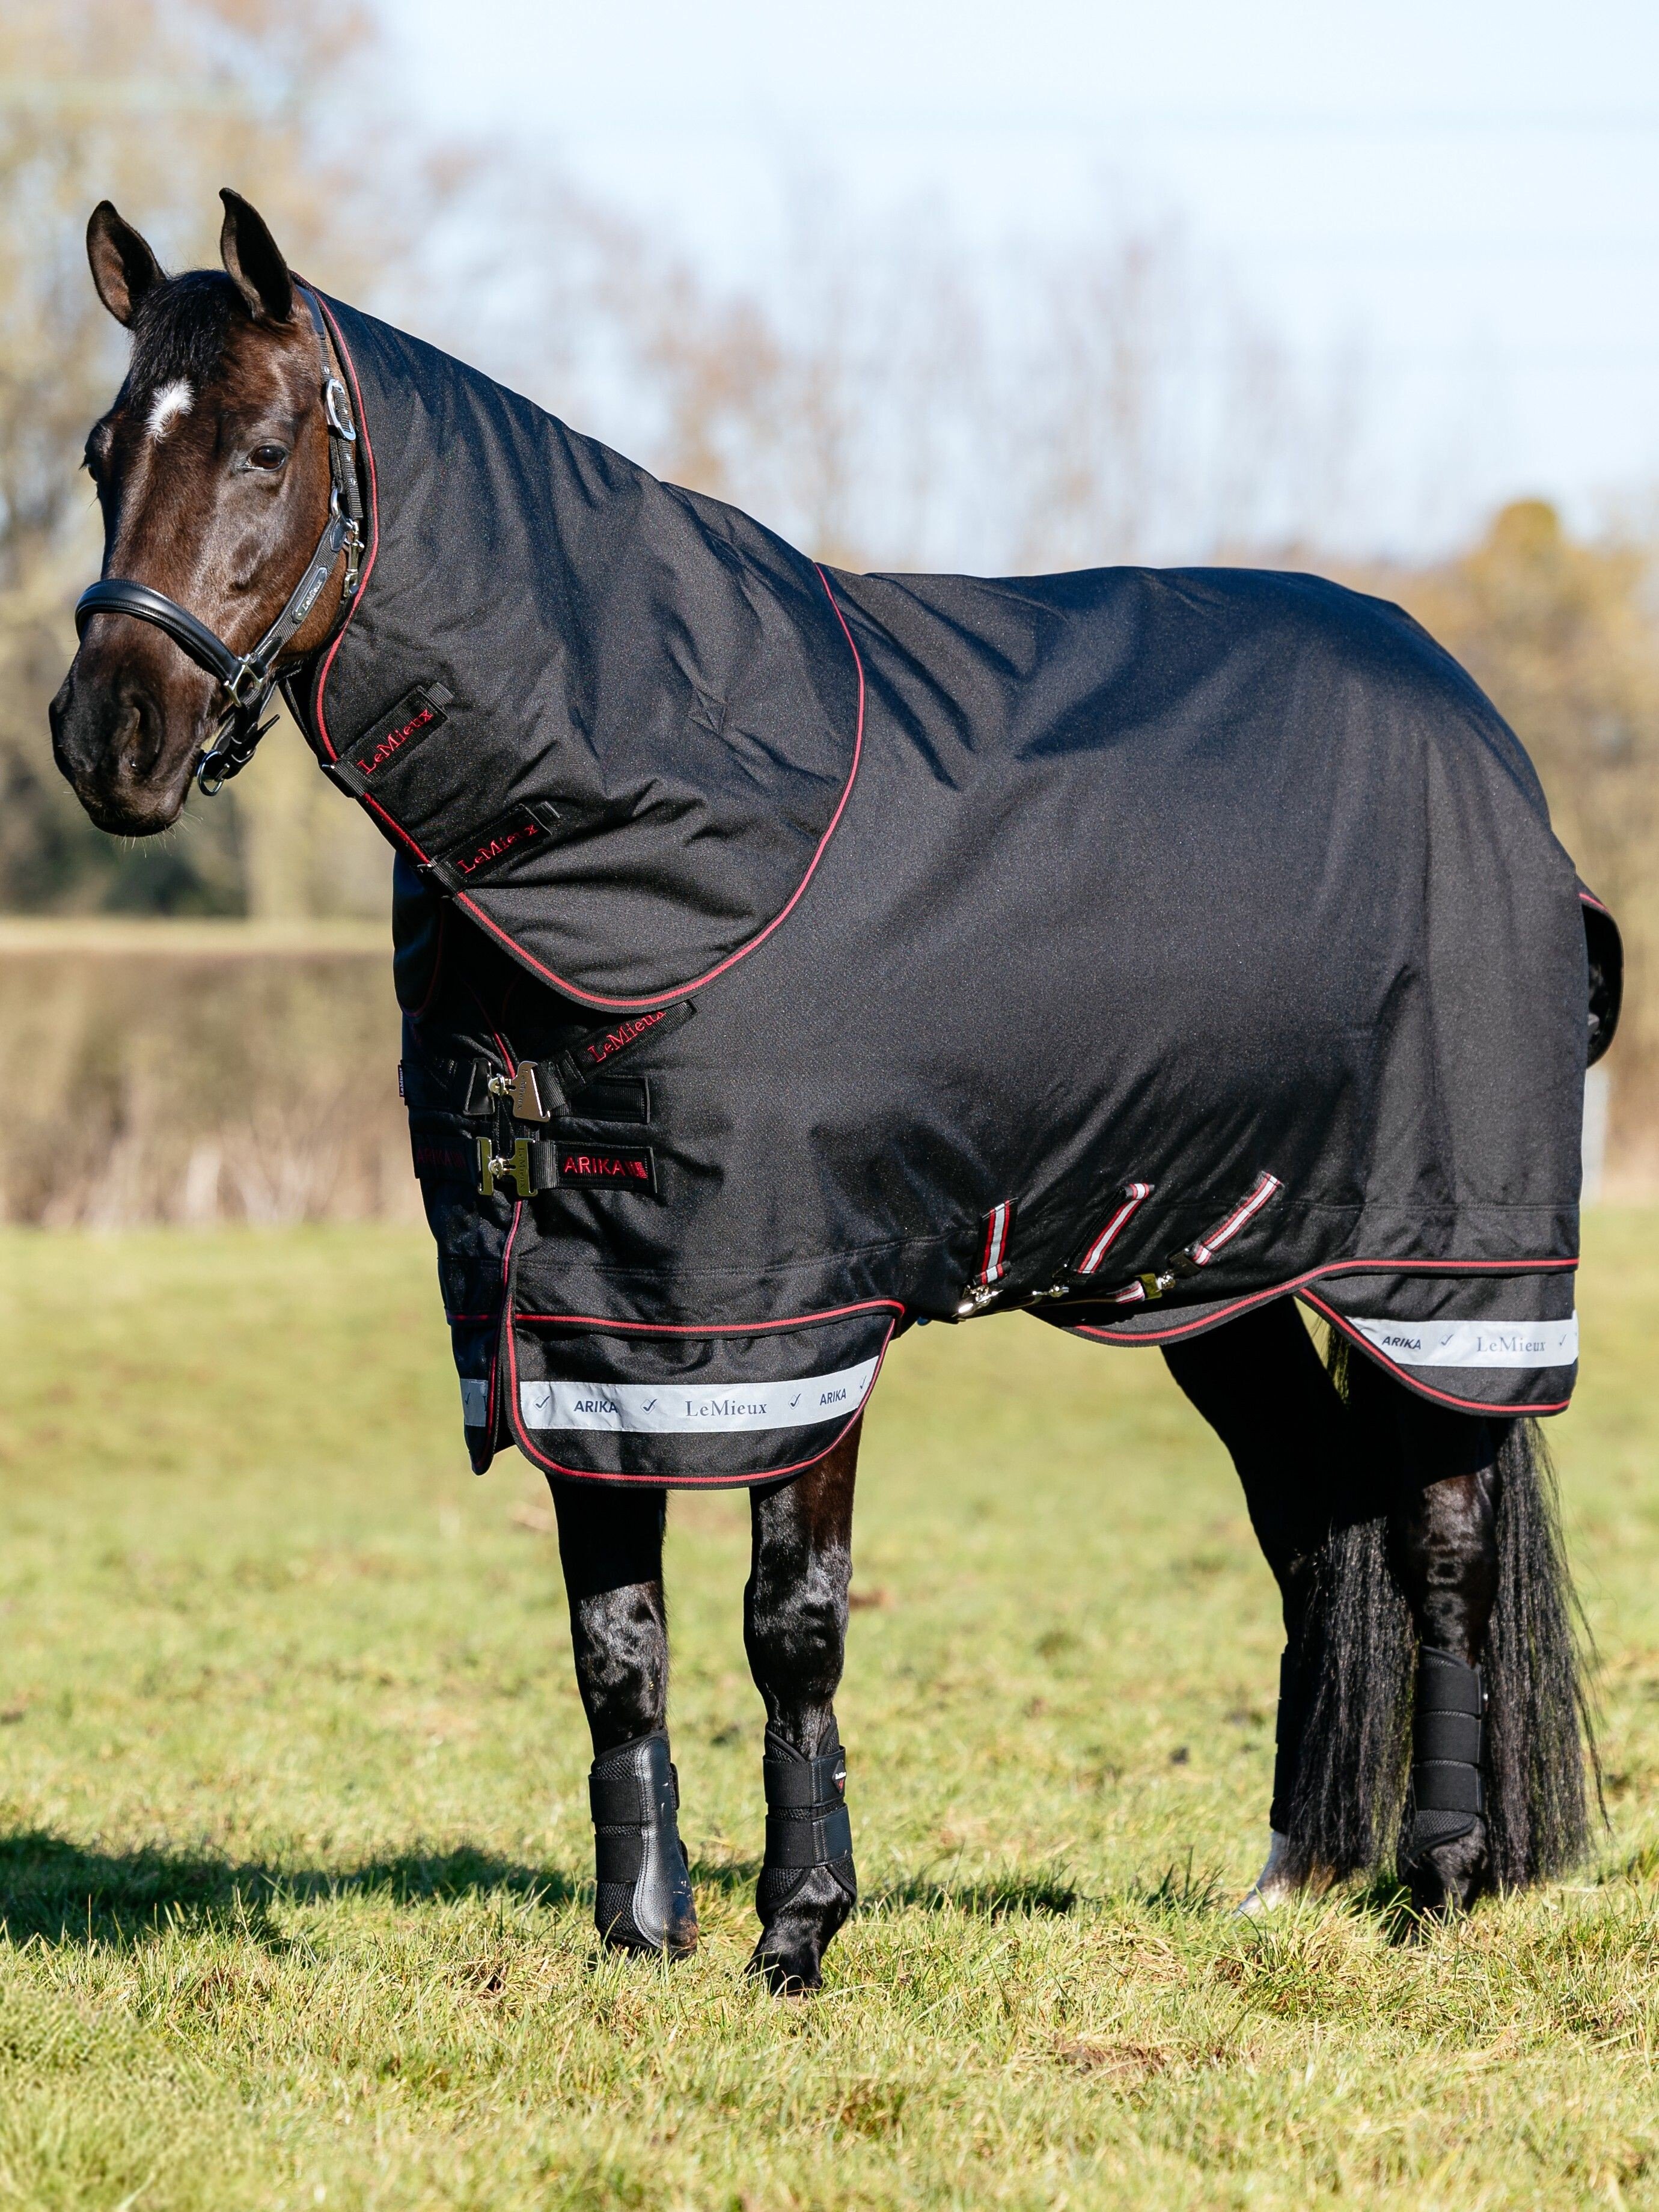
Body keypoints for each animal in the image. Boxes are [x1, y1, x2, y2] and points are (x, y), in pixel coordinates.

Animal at [51, 191, 1614, 1991]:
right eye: (103, 449)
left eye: (263, 446)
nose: (108, 736)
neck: (666, 814)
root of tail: (1486, 739)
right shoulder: (575, 1317)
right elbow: (615, 1636)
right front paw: (639, 1935)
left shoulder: (795, 1317)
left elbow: (789, 1622)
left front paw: (797, 1929)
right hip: (1212, 1269)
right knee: (1309, 1515)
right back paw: (1290, 1876)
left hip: (1443, 1267)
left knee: (1441, 1536)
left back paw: (1440, 1878)